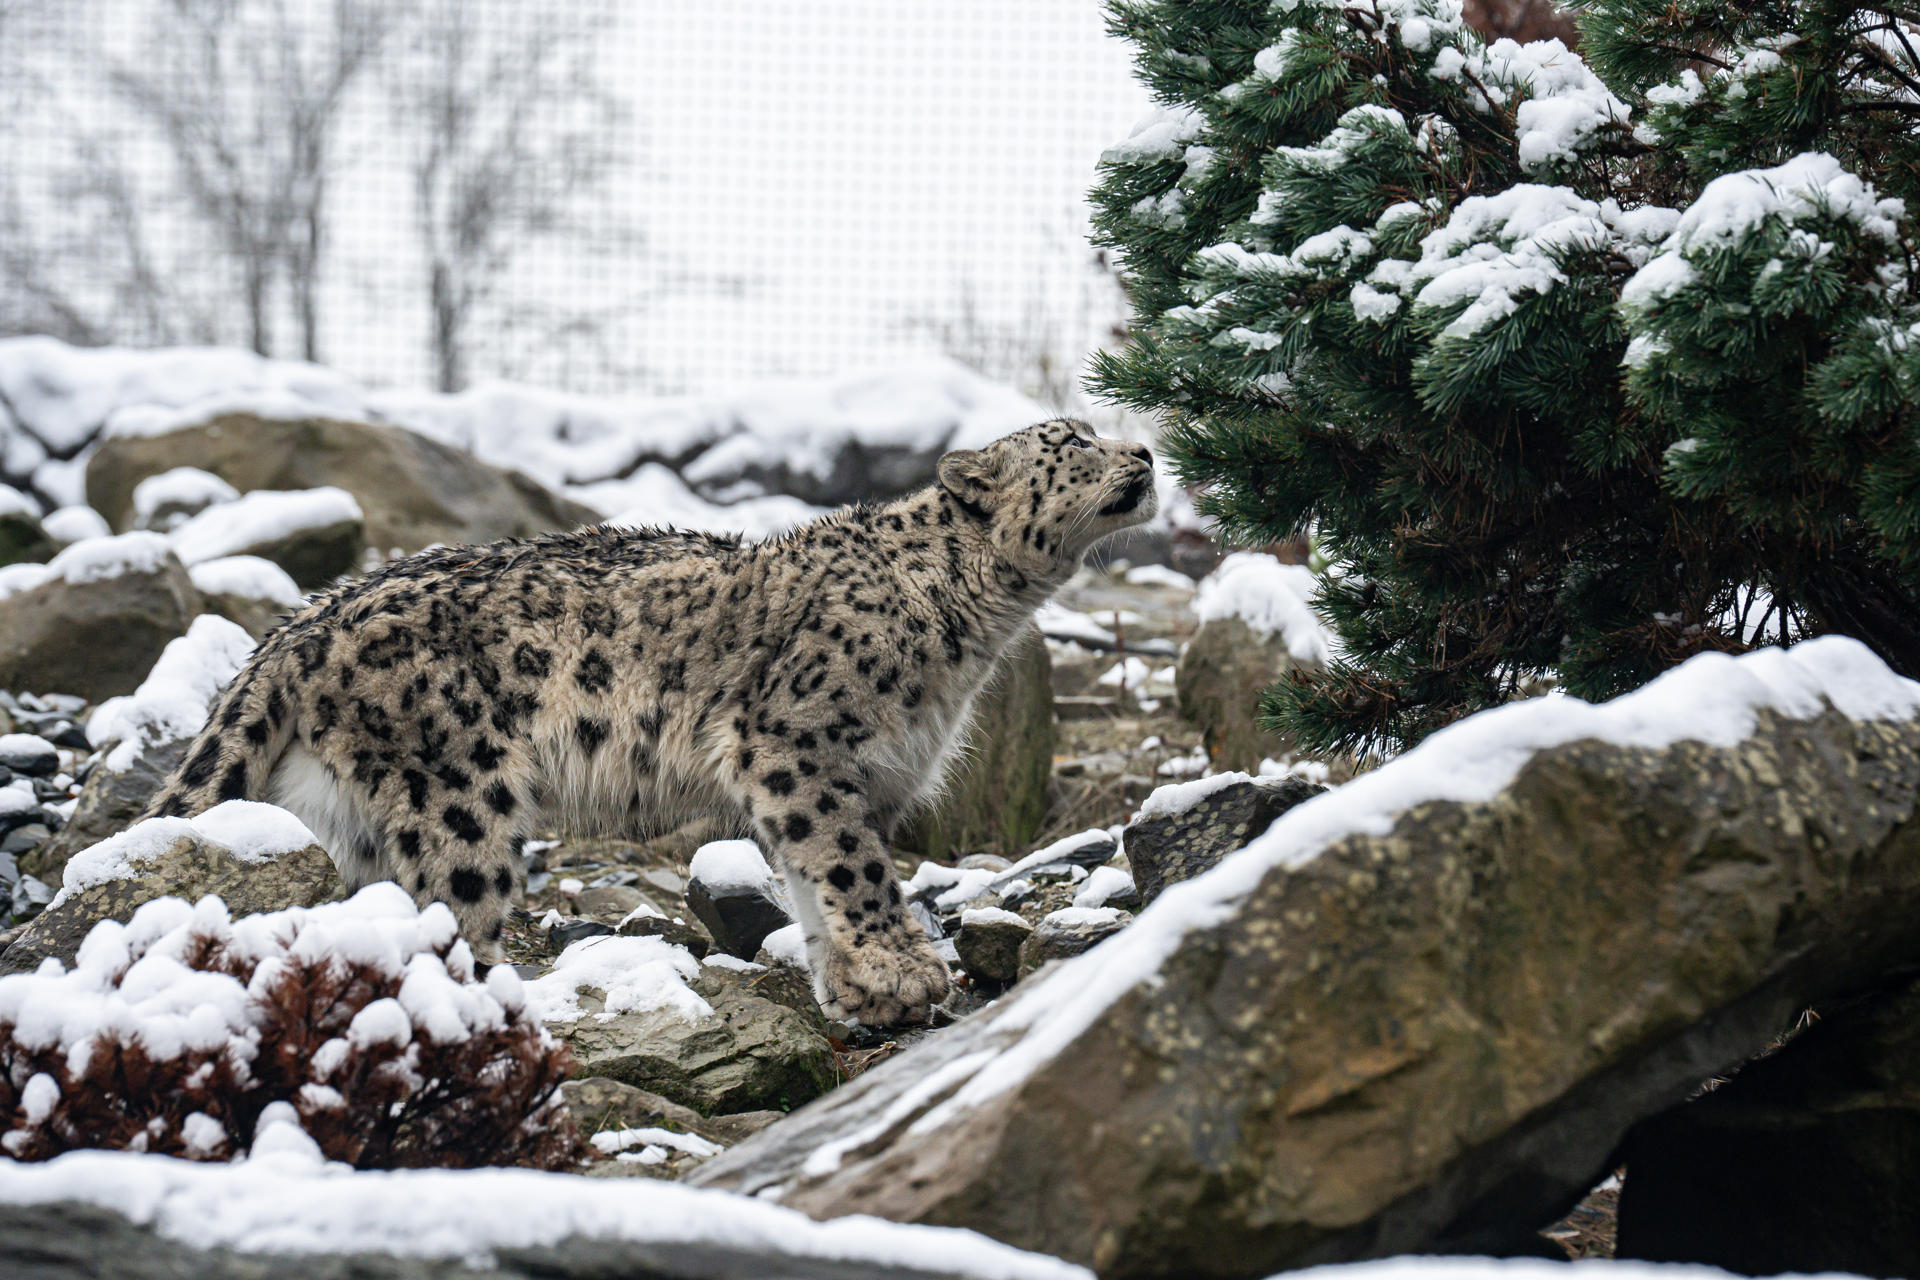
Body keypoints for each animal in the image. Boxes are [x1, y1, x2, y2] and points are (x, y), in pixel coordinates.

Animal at [144, 418, 1158, 1025]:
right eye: (1071, 439)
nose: (1146, 456)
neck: (975, 631)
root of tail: (299, 626)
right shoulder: (796, 743)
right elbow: (853, 865)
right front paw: (904, 971)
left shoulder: (849, 778)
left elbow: (814, 874)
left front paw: (855, 989)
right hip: (458, 801)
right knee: (452, 919)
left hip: (339, 817)